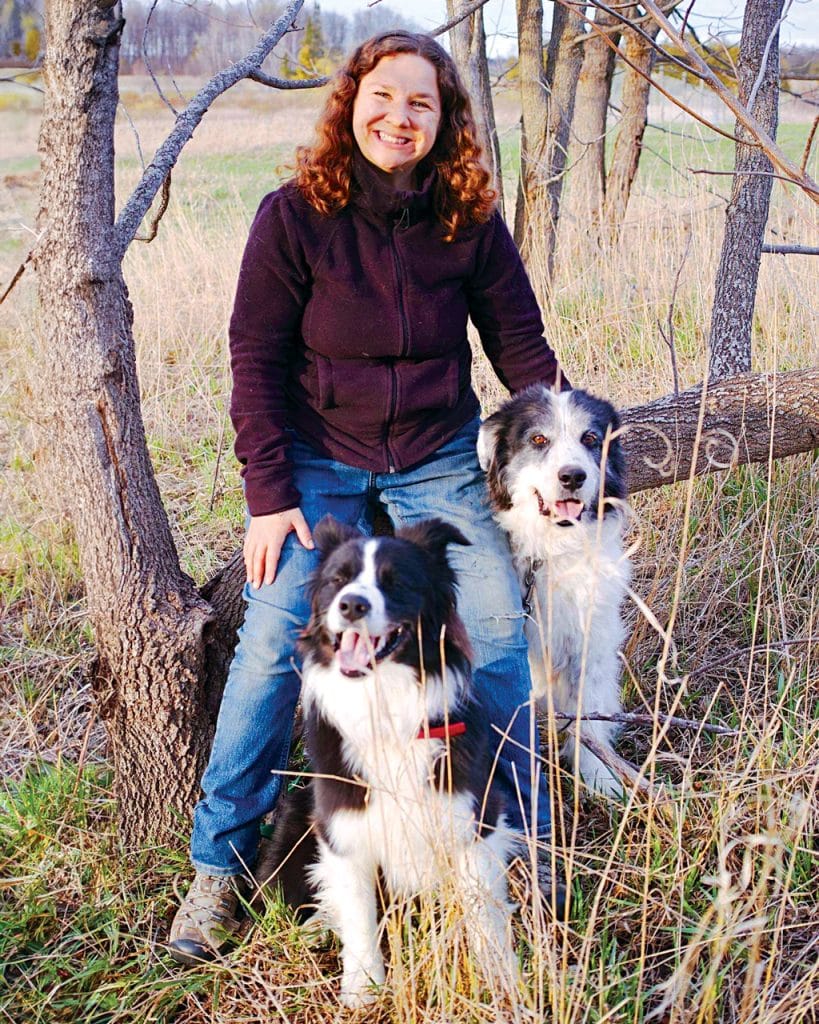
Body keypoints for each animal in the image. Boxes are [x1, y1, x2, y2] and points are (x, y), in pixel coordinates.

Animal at [477, 387, 630, 794]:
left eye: (590, 439)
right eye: (538, 440)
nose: (572, 476)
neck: (548, 552)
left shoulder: (589, 643)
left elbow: (588, 715)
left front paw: (600, 777)